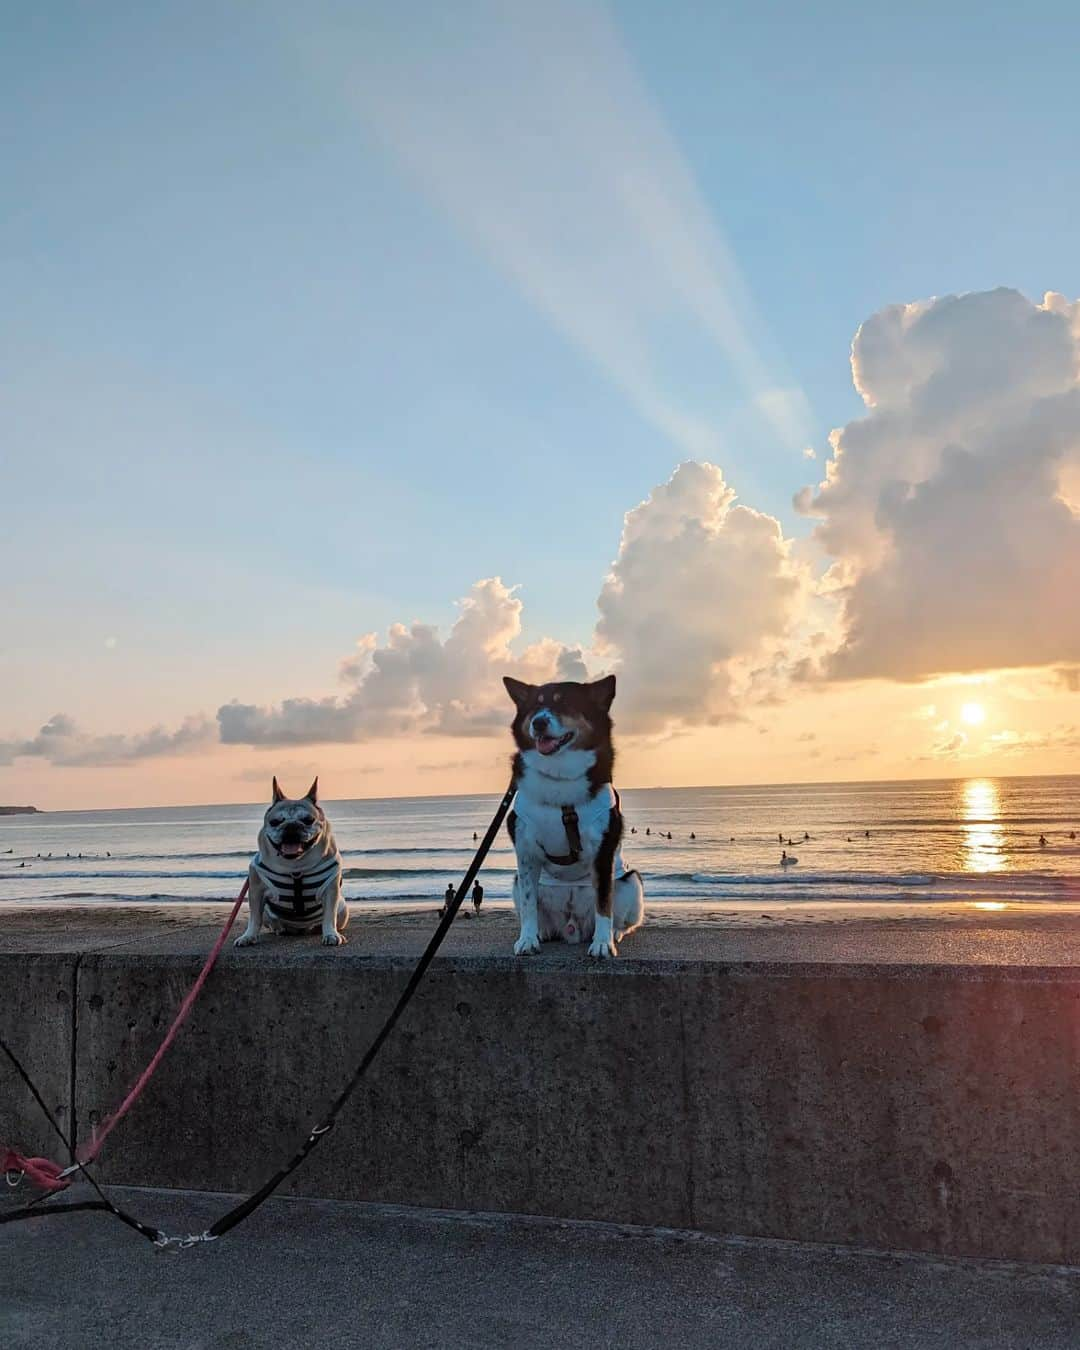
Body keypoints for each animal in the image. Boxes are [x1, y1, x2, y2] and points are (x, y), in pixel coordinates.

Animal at [233, 777, 348, 955]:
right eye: (274, 822)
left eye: (308, 820)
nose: (291, 826)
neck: (295, 866)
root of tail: (300, 930)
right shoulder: (256, 891)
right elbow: (254, 918)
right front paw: (248, 936)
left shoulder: (331, 891)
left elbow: (329, 915)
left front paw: (330, 934)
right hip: (268, 912)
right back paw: (279, 929)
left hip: (343, 908)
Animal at [504, 675, 645, 961]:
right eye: (535, 707)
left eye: (565, 703)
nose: (539, 722)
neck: (560, 778)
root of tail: (572, 927)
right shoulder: (525, 851)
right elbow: (528, 902)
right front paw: (527, 940)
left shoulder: (603, 851)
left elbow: (604, 903)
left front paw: (602, 944)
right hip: (516, 881)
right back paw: (543, 932)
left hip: (631, 882)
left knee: (621, 917)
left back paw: (613, 933)